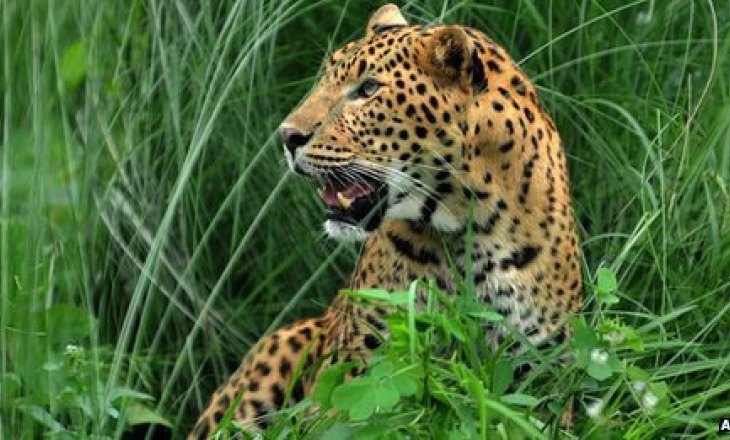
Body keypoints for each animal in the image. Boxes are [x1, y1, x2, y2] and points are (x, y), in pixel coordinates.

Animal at [189, 4, 582, 438]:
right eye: (324, 78)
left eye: (367, 90)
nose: (287, 136)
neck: (470, 228)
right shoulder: (362, 365)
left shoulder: (543, 373)